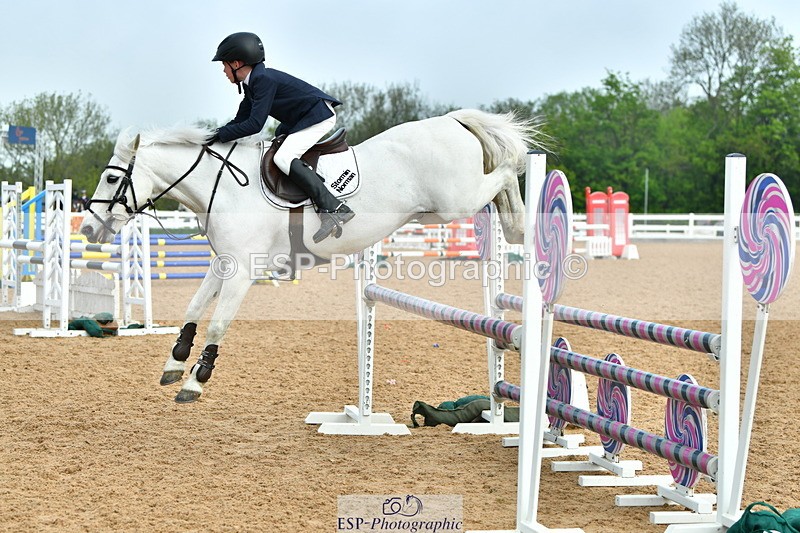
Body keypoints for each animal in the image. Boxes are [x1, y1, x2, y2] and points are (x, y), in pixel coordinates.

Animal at [79, 109, 546, 403]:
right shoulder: (224, 263)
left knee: (507, 169)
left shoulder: (243, 272)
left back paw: (522, 219)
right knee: (501, 183)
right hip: (443, 206)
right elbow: (194, 308)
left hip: (454, 202)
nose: (88, 229)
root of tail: (451, 120)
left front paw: (196, 381)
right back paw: (517, 226)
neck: (223, 187)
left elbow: (218, 323)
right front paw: (174, 362)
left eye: (111, 178)